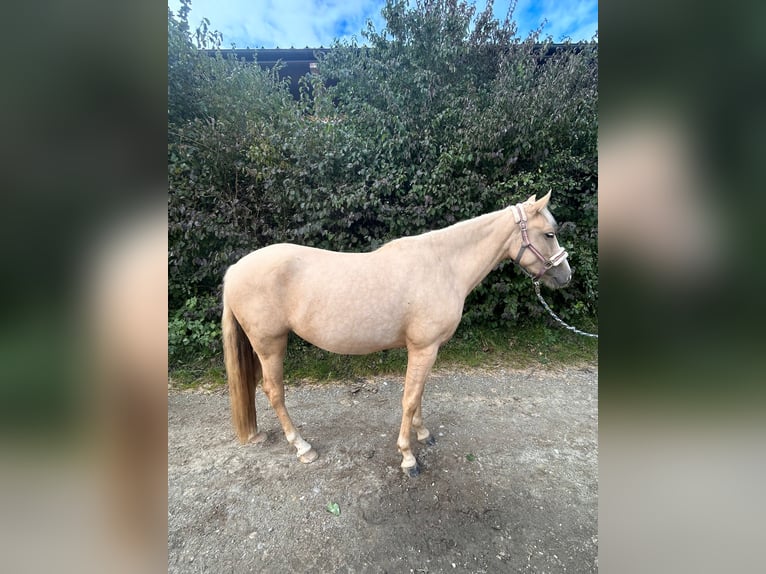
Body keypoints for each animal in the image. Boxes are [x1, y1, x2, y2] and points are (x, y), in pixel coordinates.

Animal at [220, 191, 568, 474]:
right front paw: (408, 457)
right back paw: (303, 447)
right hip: (270, 345)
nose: (566, 275)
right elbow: (410, 399)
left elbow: (419, 394)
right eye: (549, 234)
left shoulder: (426, 350)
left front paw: (423, 434)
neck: (442, 265)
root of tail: (235, 269)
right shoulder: (424, 347)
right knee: (274, 391)